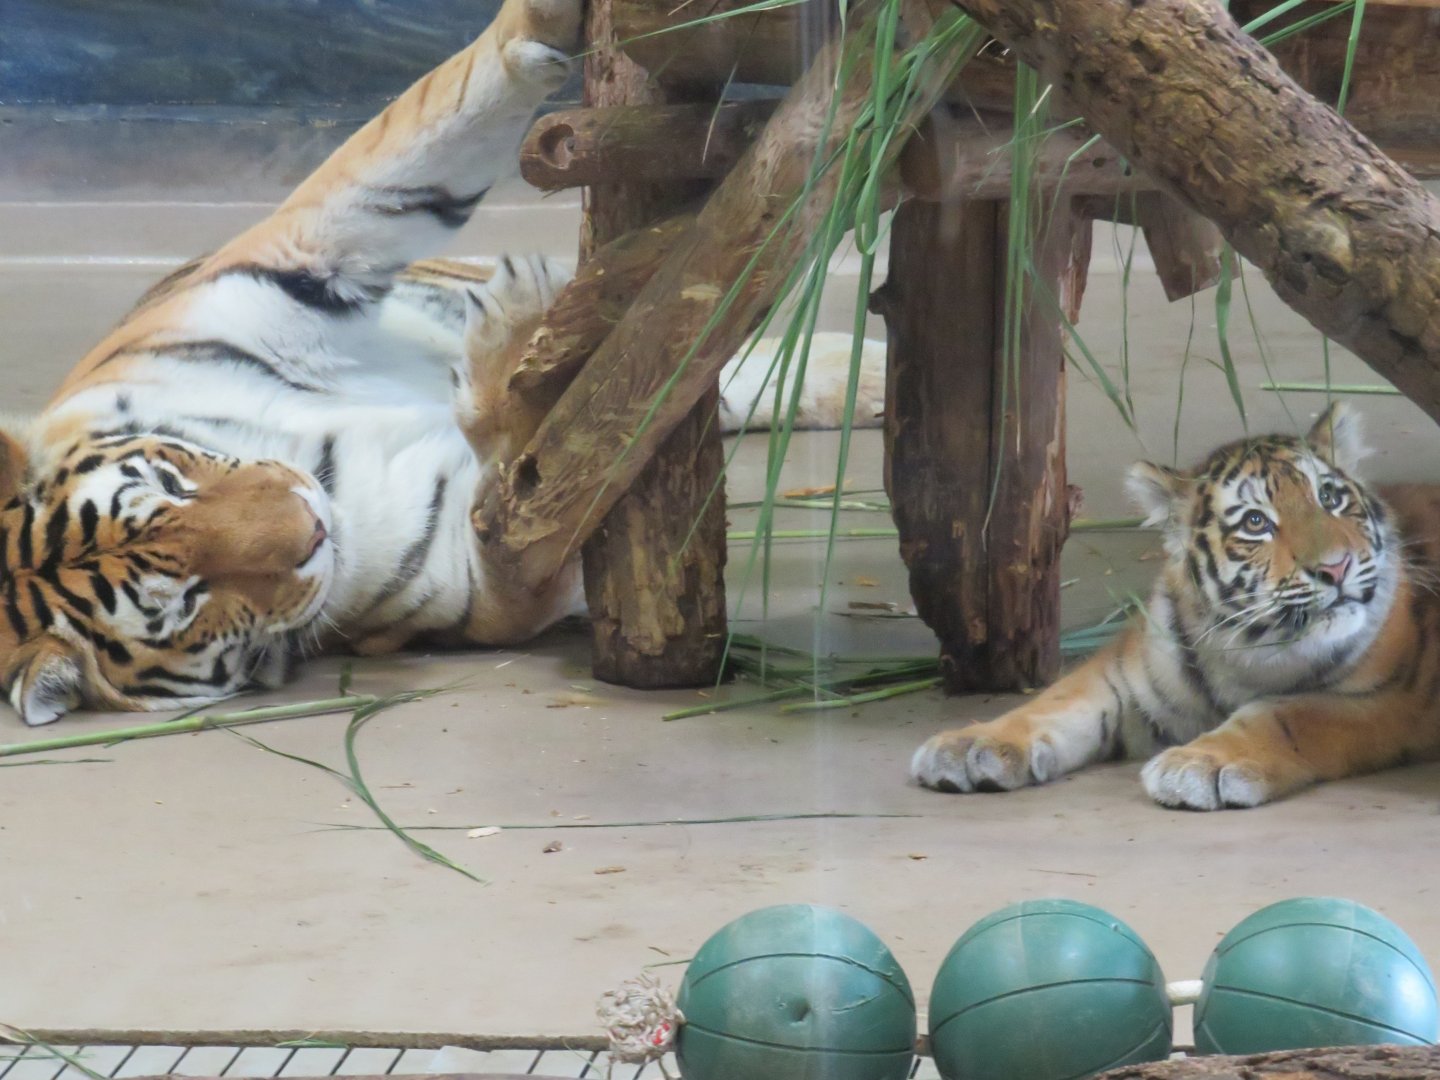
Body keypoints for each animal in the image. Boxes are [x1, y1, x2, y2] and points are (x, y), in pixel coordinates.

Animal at [0, 0, 885, 726]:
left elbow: (417, 127)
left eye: (171, 483)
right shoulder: (483, 587)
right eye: (186, 603)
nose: (310, 523)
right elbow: (541, 481)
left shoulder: (301, 256)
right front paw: (521, 332)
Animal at [910, 403, 1440, 810]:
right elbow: (1056, 701)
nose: (1337, 567)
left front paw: (1198, 764)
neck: (1249, 650)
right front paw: (970, 744)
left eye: (1329, 497)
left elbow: (1282, 714)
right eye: (1255, 523)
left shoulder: (1385, 698)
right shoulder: (1122, 673)